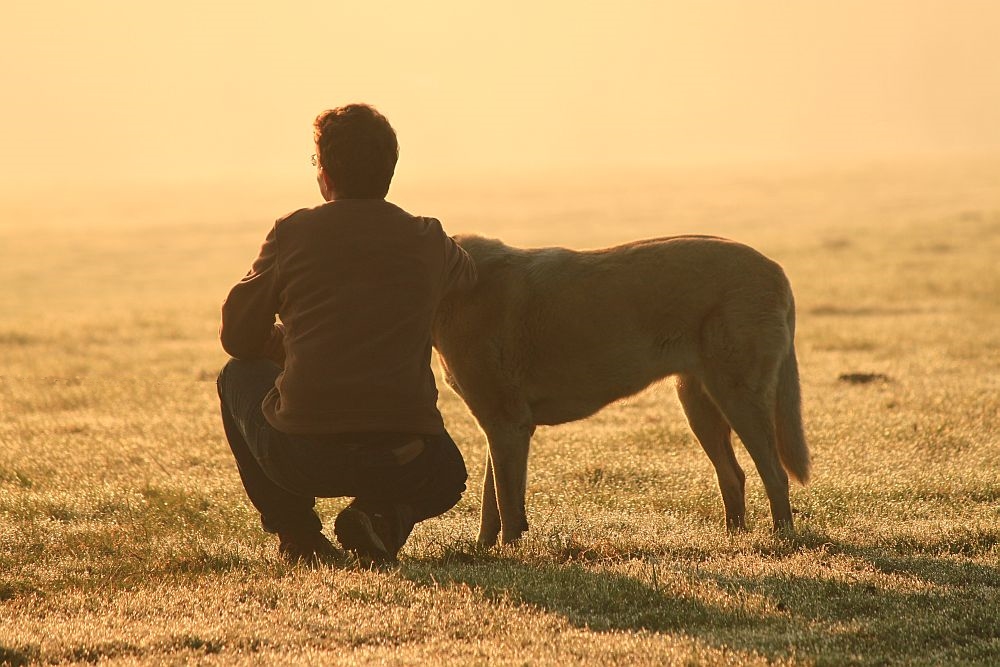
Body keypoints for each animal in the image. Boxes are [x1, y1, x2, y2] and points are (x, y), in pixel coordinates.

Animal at [434, 235, 808, 548]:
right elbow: (492, 500)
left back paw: (783, 541)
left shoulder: (508, 423)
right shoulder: (502, 425)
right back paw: (734, 540)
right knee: (733, 475)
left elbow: (506, 503)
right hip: (700, 406)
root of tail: (774, 269)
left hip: (738, 398)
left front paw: (510, 555)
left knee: (775, 475)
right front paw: (482, 551)